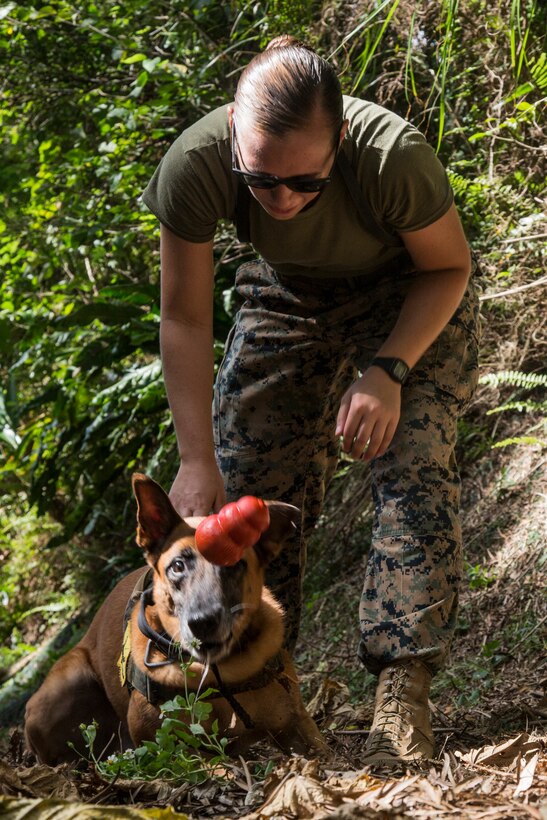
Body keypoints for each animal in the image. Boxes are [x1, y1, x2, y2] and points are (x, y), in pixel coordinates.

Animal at [23, 470, 328, 764]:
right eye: (177, 566)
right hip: (68, 681)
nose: (203, 622)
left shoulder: (297, 726)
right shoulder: (169, 745)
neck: (222, 673)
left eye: (233, 565)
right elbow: (213, 765)